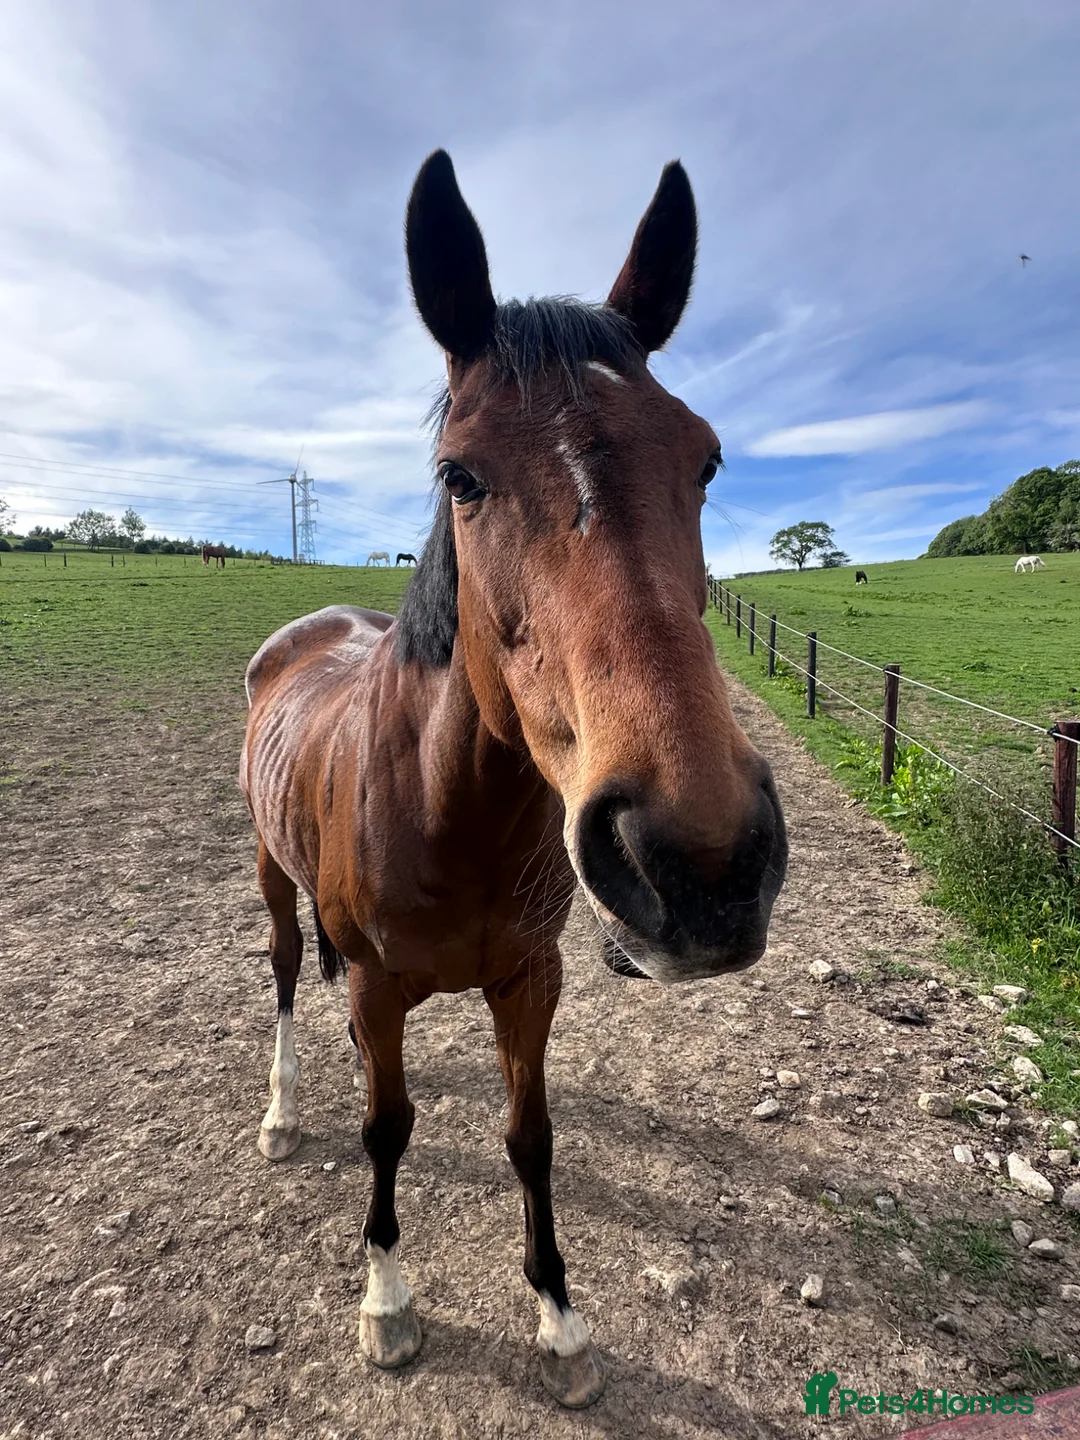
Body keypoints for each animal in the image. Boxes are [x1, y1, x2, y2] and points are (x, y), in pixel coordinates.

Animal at [240, 150, 788, 1409]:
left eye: (705, 457)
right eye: (461, 474)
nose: (703, 861)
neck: (449, 811)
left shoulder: (532, 980)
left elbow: (530, 1135)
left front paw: (562, 1322)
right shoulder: (377, 985)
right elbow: (385, 1133)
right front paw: (388, 1305)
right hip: (271, 879)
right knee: (288, 977)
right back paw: (284, 1111)